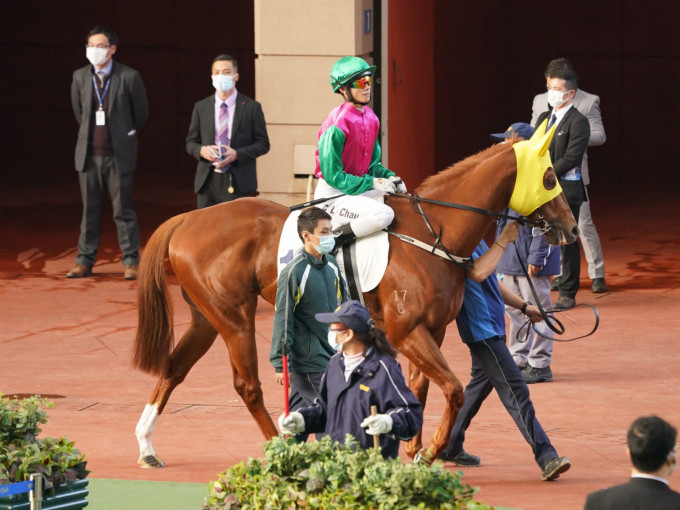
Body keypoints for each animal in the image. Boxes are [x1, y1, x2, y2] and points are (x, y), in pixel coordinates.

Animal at [130, 136, 576, 466]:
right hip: (234, 317)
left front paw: (410, 450)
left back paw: (147, 445)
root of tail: (187, 219)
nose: (571, 227)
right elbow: (452, 390)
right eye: (549, 176)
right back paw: (282, 446)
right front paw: (428, 452)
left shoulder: (429, 330)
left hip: (206, 318)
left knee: (174, 368)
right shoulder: (406, 331)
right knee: (248, 386)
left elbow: (419, 390)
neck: (434, 231)